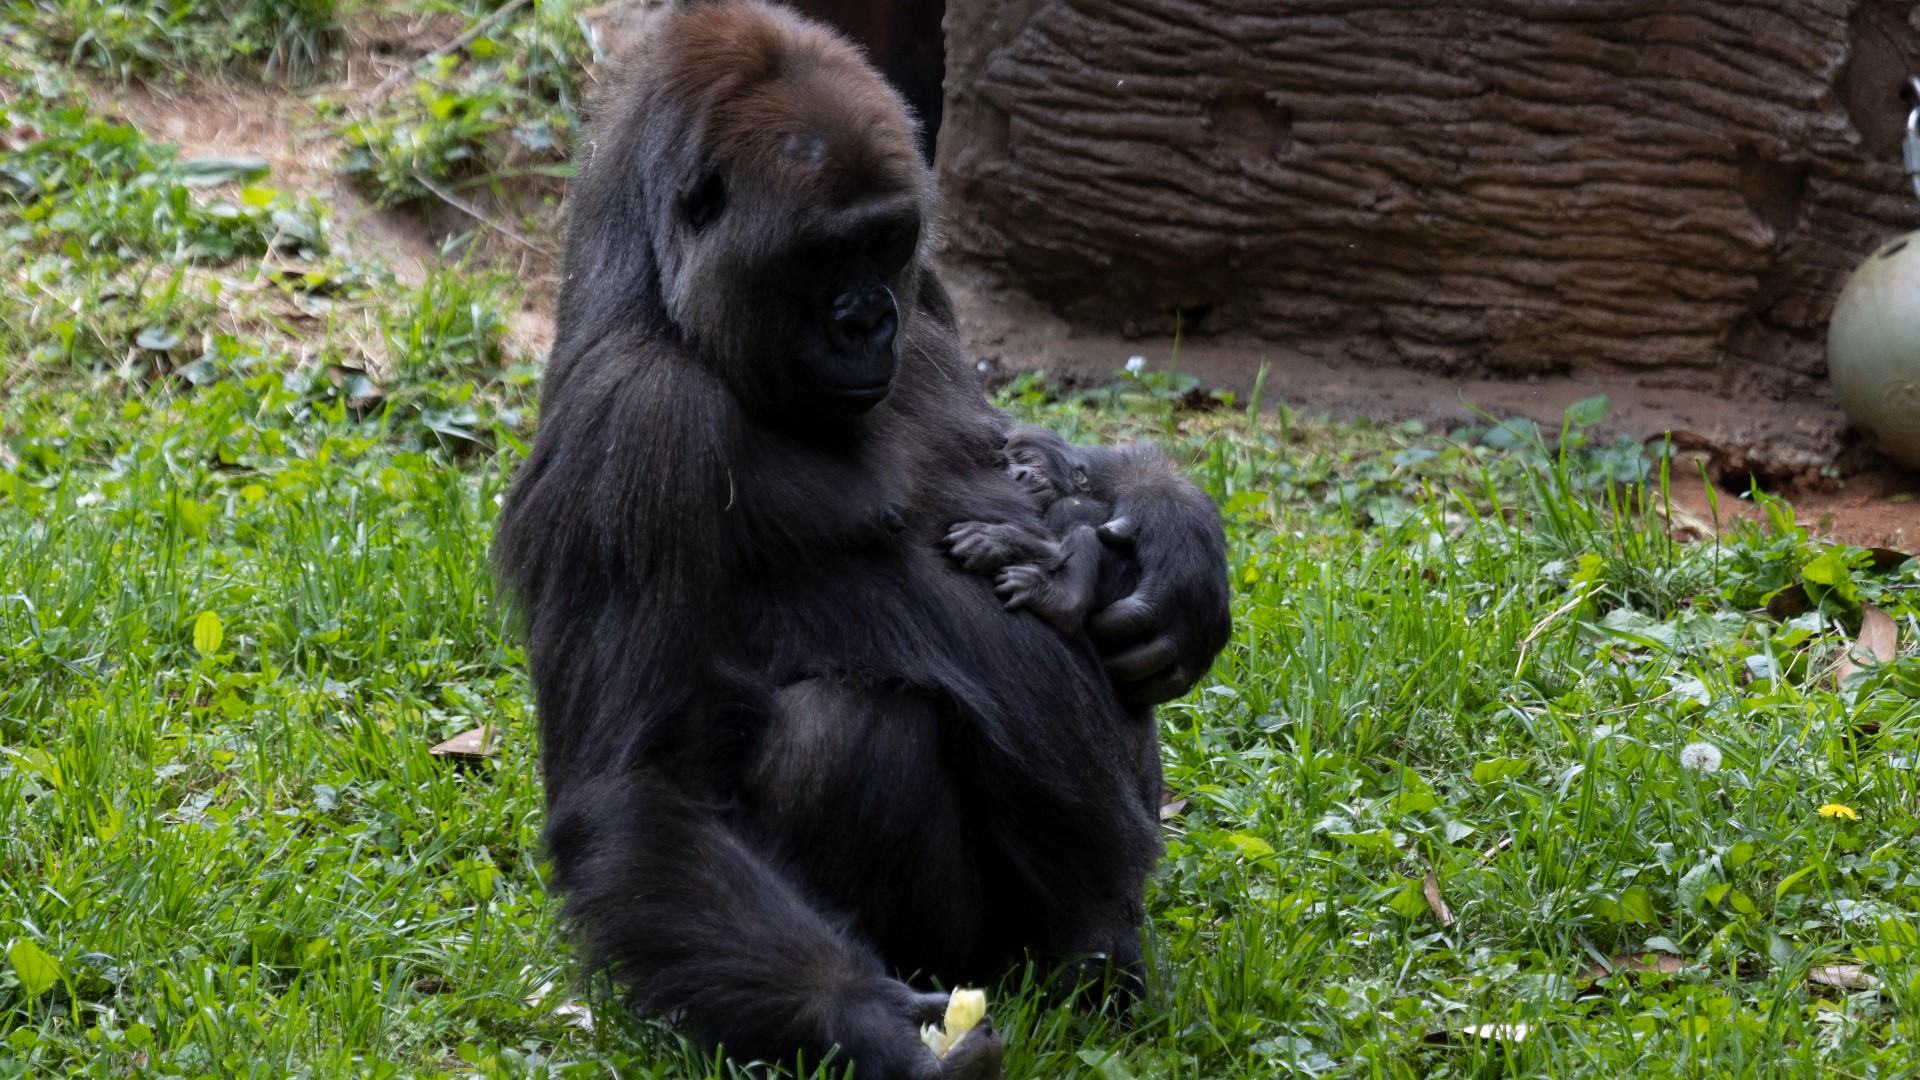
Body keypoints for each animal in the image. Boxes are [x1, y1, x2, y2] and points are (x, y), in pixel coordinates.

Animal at [944, 426, 1136, 634]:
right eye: (1001, 469)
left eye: (1027, 459)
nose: (1018, 474)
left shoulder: (1068, 508)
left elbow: (1057, 548)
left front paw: (997, 539)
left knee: (1083, 534)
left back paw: (1059, 602)